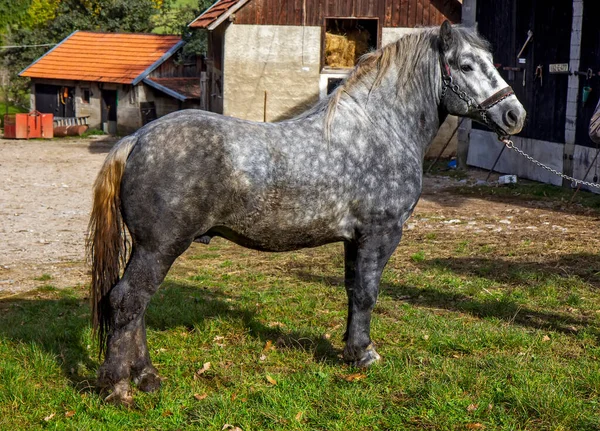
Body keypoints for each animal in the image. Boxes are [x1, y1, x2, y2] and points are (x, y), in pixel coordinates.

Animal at [89, 21, 524, 404]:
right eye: (466, 65)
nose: (514, 116)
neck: (379, 129)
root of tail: (137, 138)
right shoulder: (381, 233)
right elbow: (368, 293)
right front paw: (365, 354)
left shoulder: (355, 239)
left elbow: (352, 291)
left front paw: (350, 349)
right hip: (159, 247)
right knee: (127, 301)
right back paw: (119, 386)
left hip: (150, 249)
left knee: (137, 306)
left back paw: (146, 377)